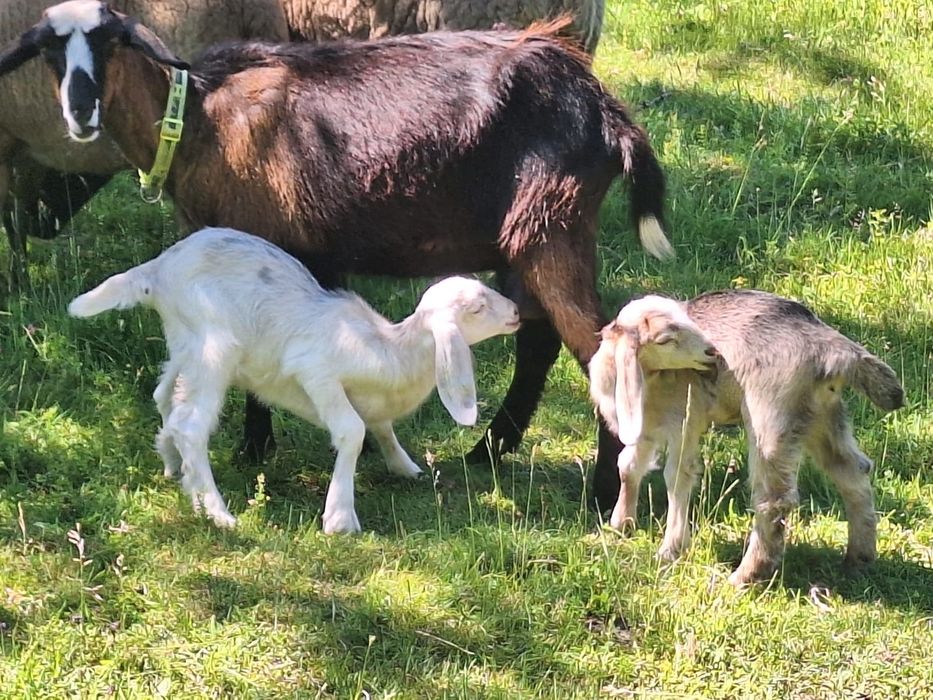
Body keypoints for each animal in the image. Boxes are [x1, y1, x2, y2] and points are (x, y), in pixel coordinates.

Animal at [0, 1, 673, 487]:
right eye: (49, 51)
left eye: (112, 42)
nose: (81, 111)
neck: (196, 122)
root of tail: (605, 109)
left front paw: (255, 446)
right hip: (525, 240)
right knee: (538, 342)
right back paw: (487, 452)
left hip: (551, 229)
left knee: (596, 346)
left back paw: (602, 495)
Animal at [69, 227, 521, 531]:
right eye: (477, 308)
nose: (517, 311)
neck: (393, 347)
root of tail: (158, 271)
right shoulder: (316, 372)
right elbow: (353, 430)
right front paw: (340, 516)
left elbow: (382, 426)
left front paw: (404, 466)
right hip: (214, 345)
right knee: (190, 426)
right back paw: (217, 511)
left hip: (185, 343)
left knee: (165, 396)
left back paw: (175, 468)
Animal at [589, 290, 904, 585]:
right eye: (666, 339)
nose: (712, 353)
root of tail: (830, 347)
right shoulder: (643, 428)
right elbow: (628, 465)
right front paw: (621, 524)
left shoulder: (684, 420)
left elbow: (676, 476)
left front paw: (671, 549)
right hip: (820, 414)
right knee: (852, 470)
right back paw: (858, 559)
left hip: (770, 416)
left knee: (774, 500)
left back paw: (746, 576)